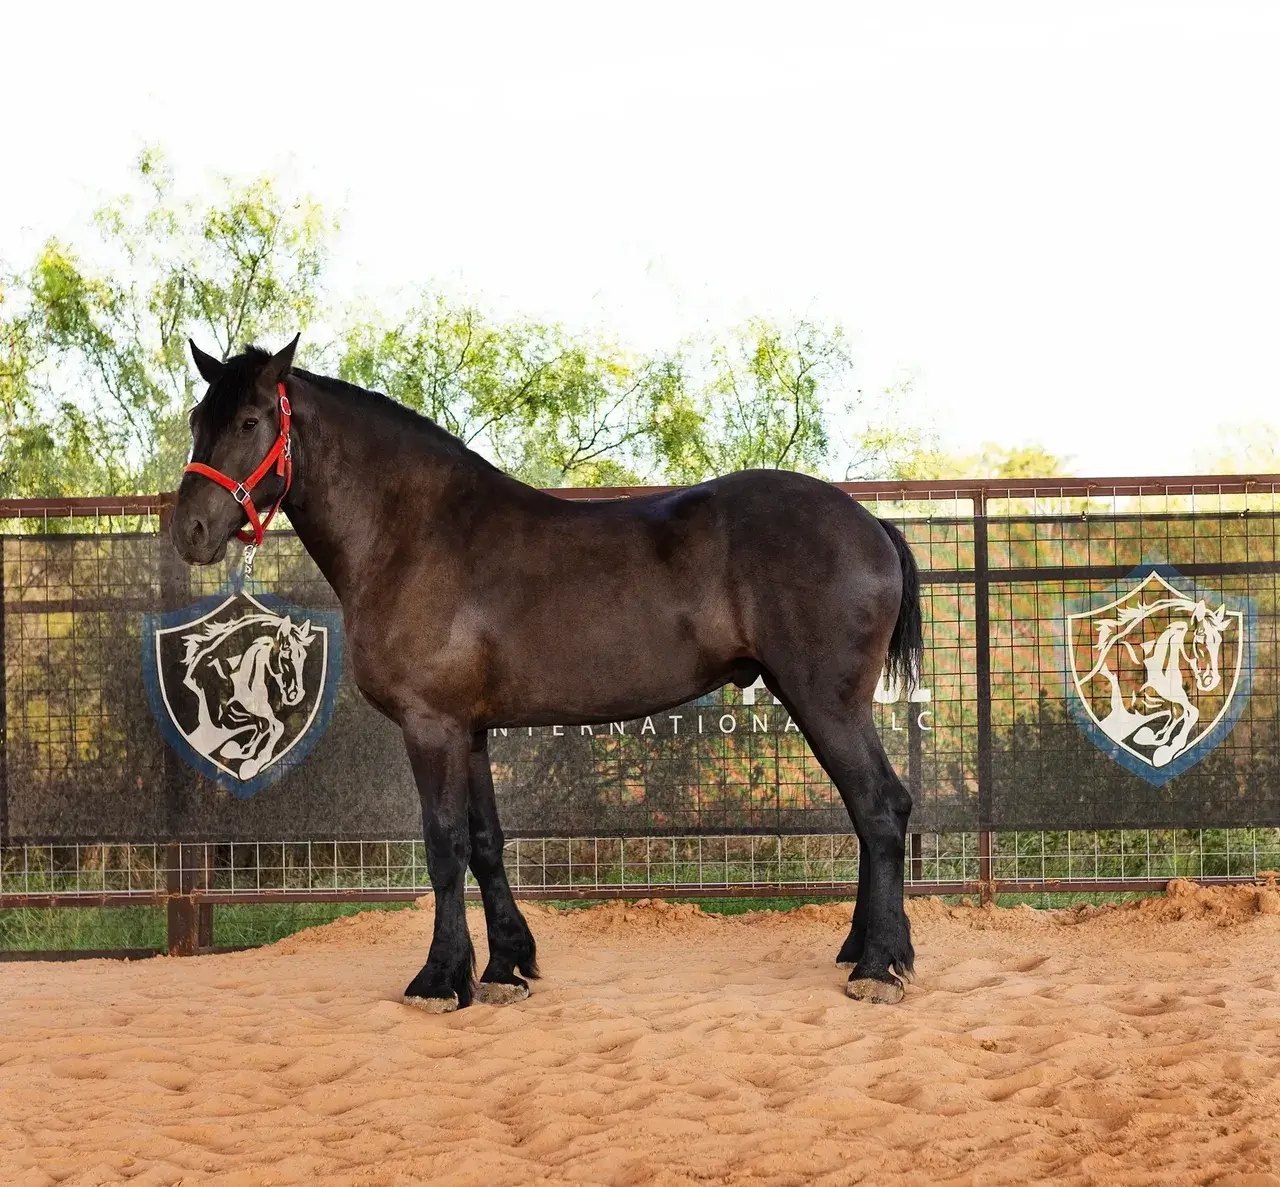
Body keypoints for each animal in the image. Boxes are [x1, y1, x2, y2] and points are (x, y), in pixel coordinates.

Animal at [181, 612, 316, 779]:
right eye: (285, 656)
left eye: (303, 656)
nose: (296, 694)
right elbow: (274, 726)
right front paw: (254, 761)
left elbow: (264, 726)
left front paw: (245, 755)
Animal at [1078, 597, 1228, 767]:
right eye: (1200, 637)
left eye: (1219, 641)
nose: (1210, 680)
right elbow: (1186, 712)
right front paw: (1164, 751)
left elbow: (1179, 713)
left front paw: (1160, 742)